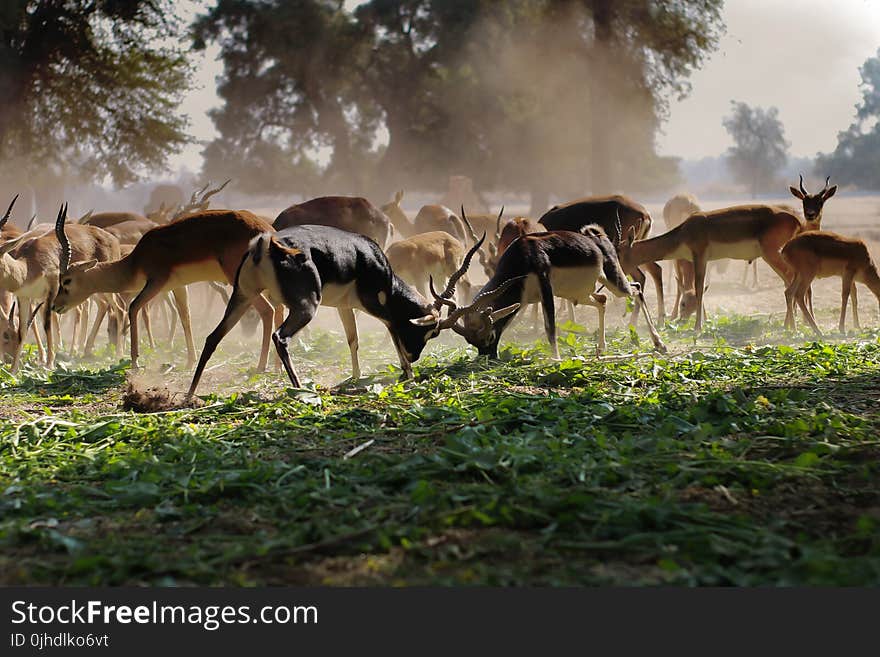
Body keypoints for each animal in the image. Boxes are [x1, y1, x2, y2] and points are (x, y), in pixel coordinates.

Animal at [187, 223, 516, 398]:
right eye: (432, 331)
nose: (415, 357)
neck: (375, 262)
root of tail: (268, 246)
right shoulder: (379, 306)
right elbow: (393, 332)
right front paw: (407, 373)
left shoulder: (345, 307)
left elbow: (353, 340)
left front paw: (356, 377)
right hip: (304, 307)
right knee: (280, 338)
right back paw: (300, 389)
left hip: (241, 297)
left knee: (212, 338)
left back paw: (190, 395)